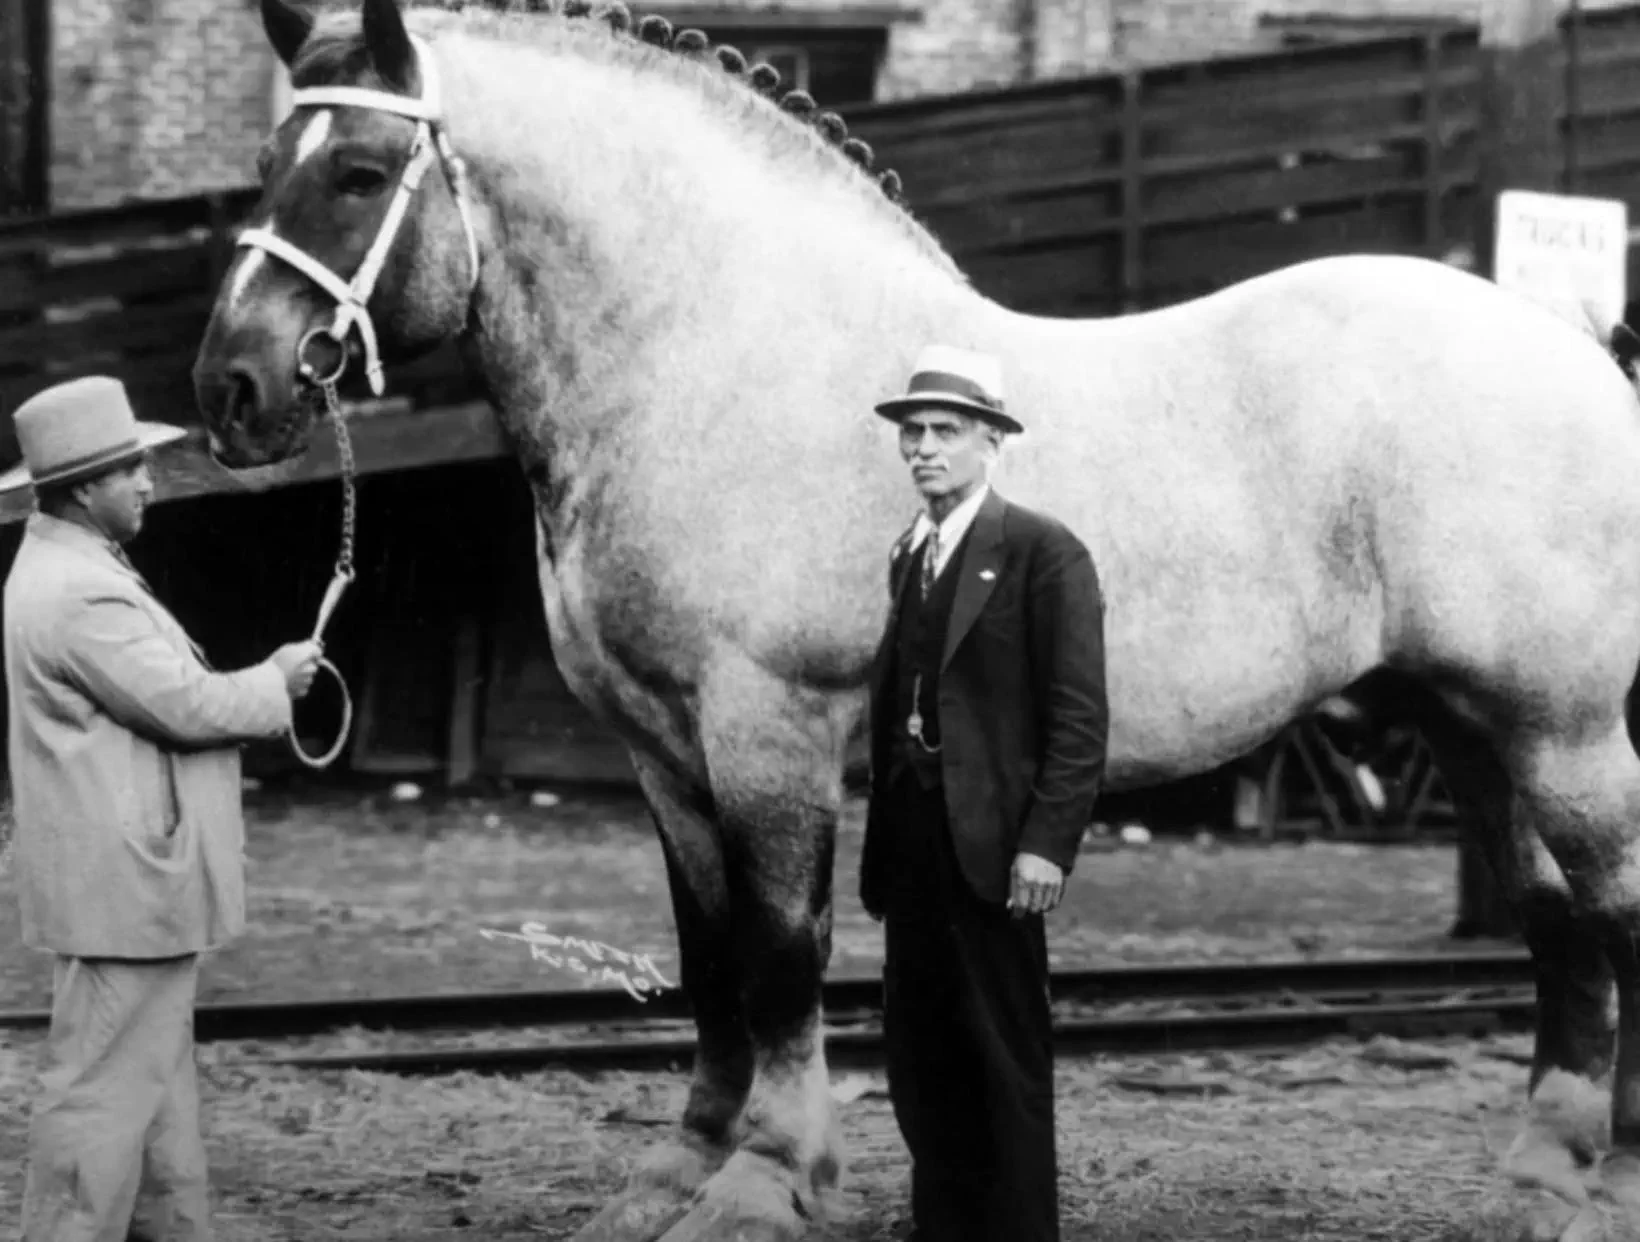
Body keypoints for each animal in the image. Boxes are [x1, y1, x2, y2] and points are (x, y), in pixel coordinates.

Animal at [190, 0, 1640, 1236]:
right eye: (265, 161)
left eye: (360, 171)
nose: (232, 387)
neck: (721, 356)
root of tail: (1575, 350)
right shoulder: (662, 752)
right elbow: (708, 954)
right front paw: (680, 1169)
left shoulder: (766, 732)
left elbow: (780, 952)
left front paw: (766, 1183)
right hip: (1467, 726)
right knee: (1559, 924)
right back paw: (1546, 1174)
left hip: (1561, 731)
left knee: (1607, 911)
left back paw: (1596, 1172)